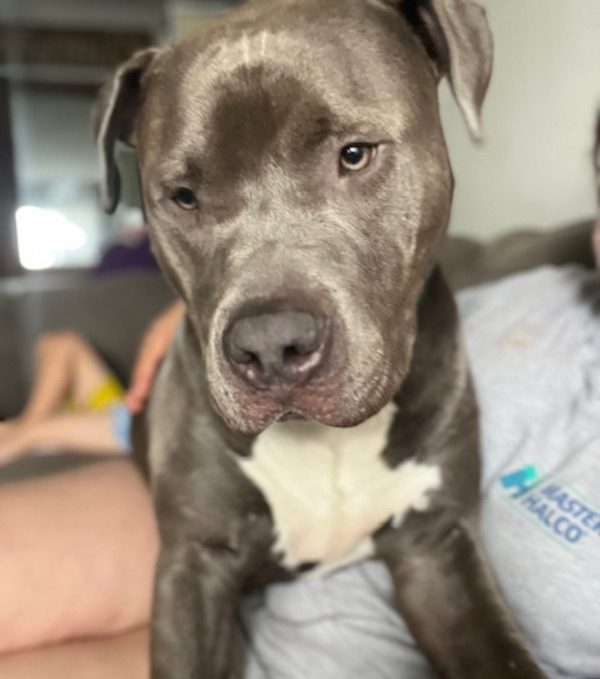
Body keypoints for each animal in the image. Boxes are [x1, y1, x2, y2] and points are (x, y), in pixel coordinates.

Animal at [96, 1, 552, 679]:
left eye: (355, 154)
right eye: (183, 197)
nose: (269, 345)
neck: (327, 442)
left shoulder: (437, 549)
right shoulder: (195, 565)